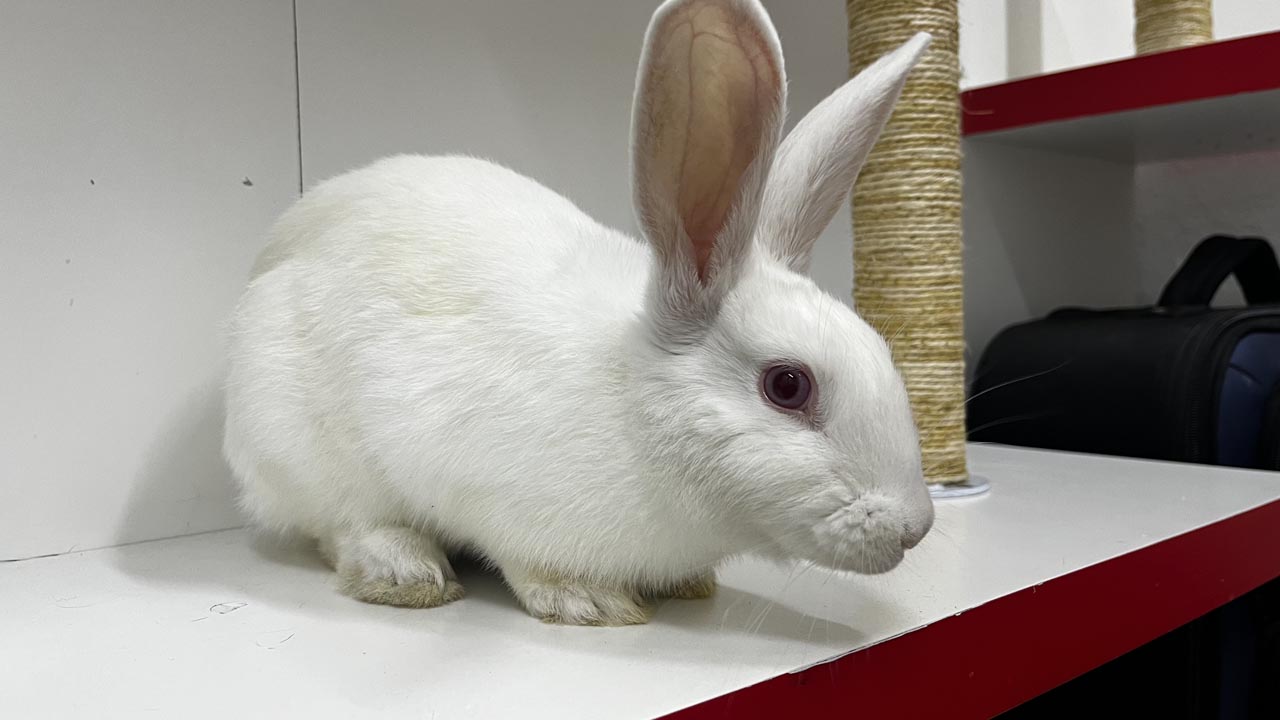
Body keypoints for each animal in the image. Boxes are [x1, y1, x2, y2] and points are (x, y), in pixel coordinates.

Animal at [223, 0, 934, 626]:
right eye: (787, 385)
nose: (916, 528)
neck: (634, 399)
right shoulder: (486, 488)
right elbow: (528, 561)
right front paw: (588, 603)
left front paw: (686, 583)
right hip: (300, 445)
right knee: (341, 526)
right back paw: (406, 572)